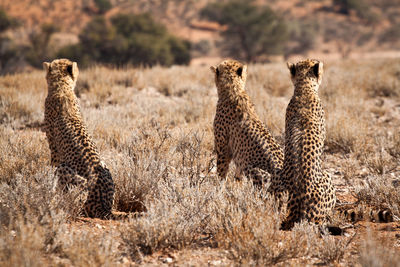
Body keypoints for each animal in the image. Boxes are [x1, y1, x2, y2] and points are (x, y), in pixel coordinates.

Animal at [44, 58, 115, 220]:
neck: (61, 86)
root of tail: (104, 209)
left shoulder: (54, 149)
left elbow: (52, 168)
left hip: (66, 169)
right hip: (105, 166)